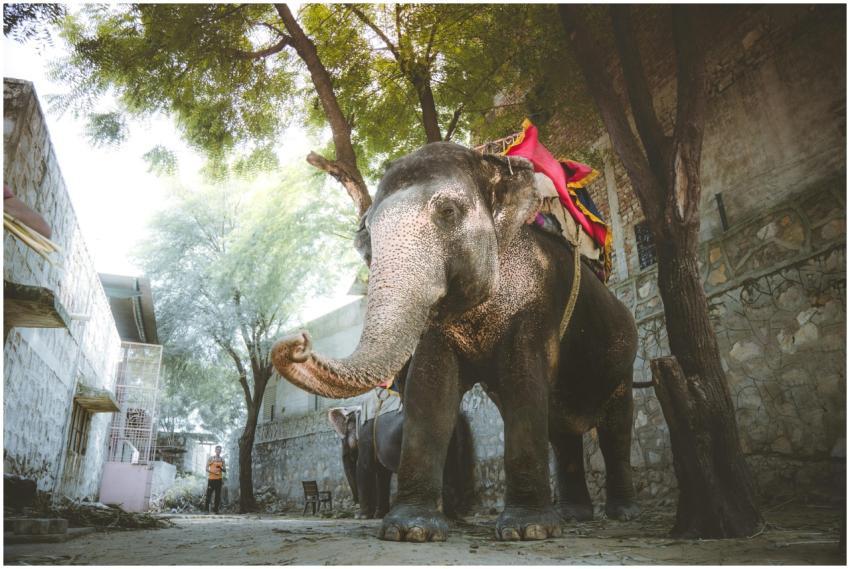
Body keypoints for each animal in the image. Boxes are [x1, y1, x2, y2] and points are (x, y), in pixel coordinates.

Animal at [328, 405, 473, 520]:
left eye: (344, 436)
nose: (354, 503)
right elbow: (382, 473)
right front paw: (379, 515)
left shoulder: (367, 432)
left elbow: (364, 467)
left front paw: (361, 517)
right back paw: (451, 515)